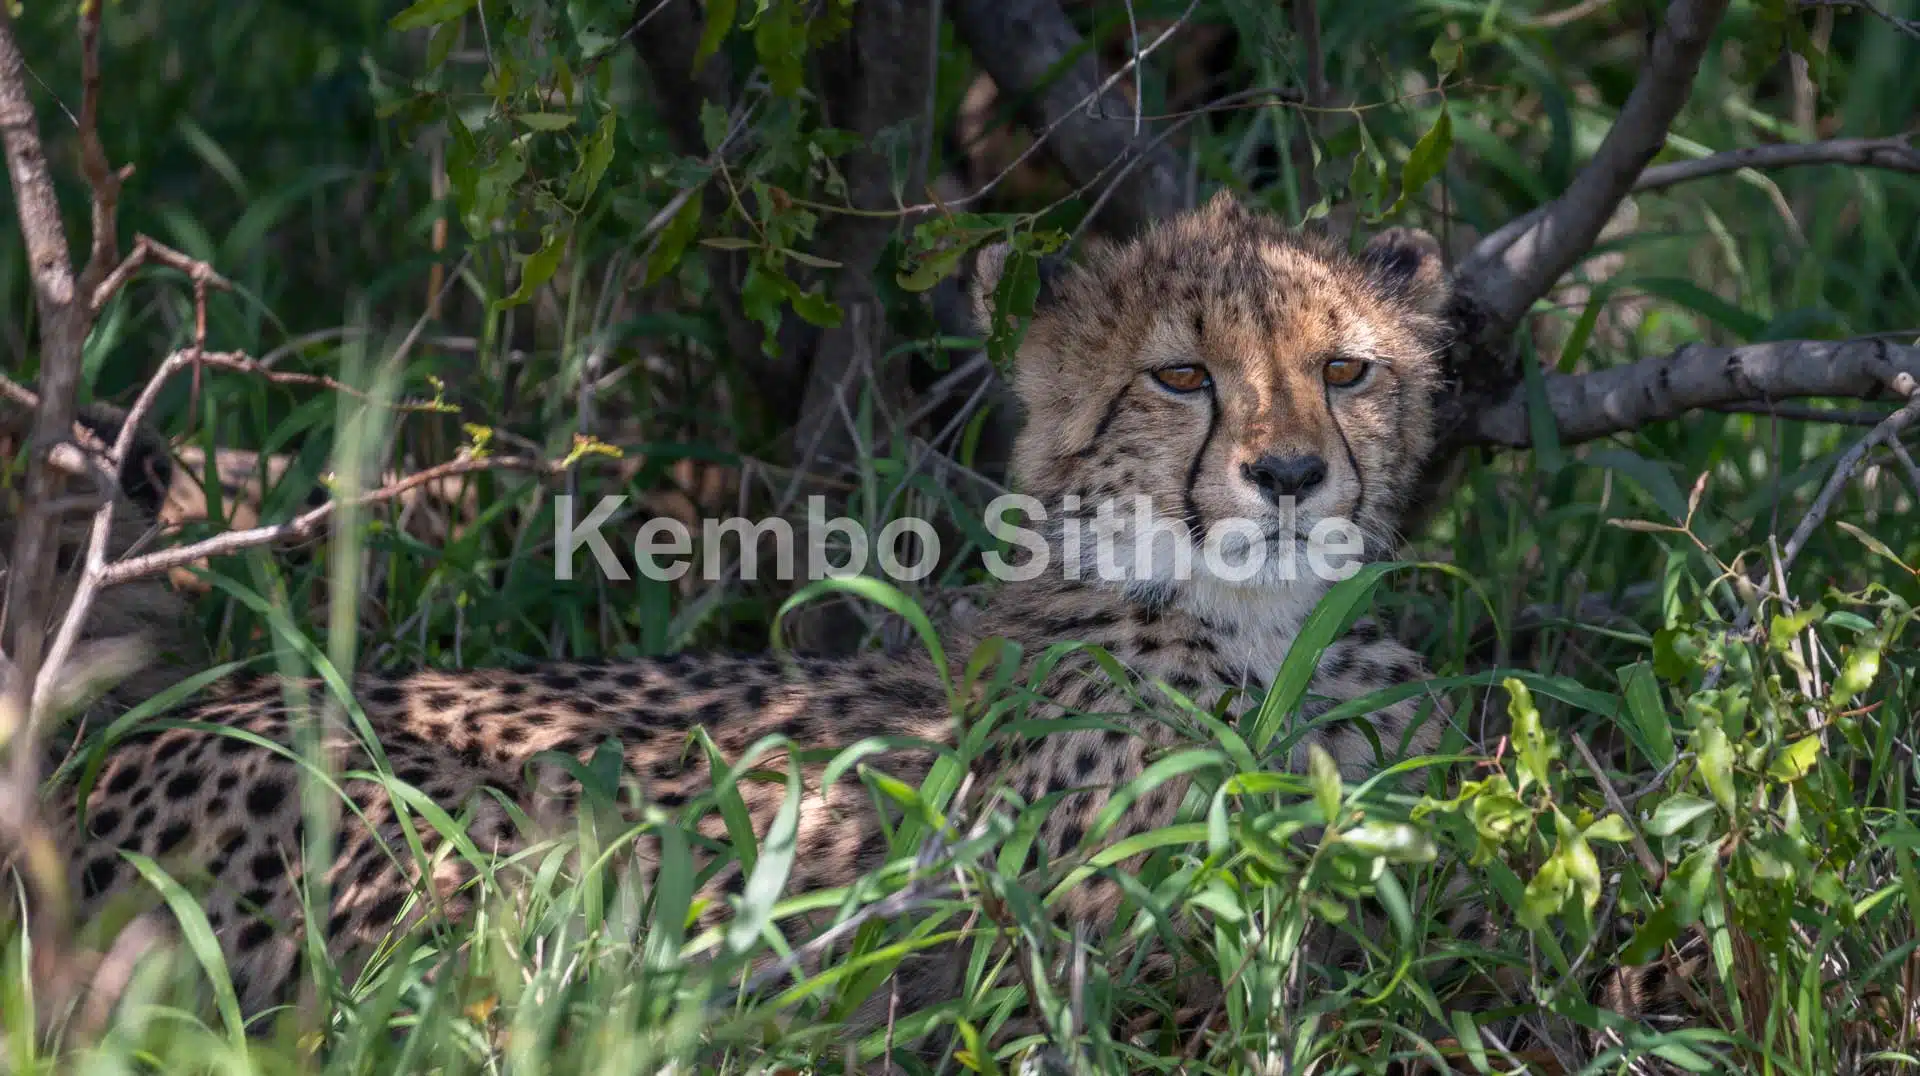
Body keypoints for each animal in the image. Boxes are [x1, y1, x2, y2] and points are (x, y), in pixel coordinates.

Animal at [8, 193, 1691, 1065]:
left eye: (1344, 372)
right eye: (1181, 377)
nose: (1287, 477)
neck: (1260, 626)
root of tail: (113, 759)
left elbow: (1543, 918)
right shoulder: (1101, 944)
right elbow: (1338, 953)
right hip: (499, 849)